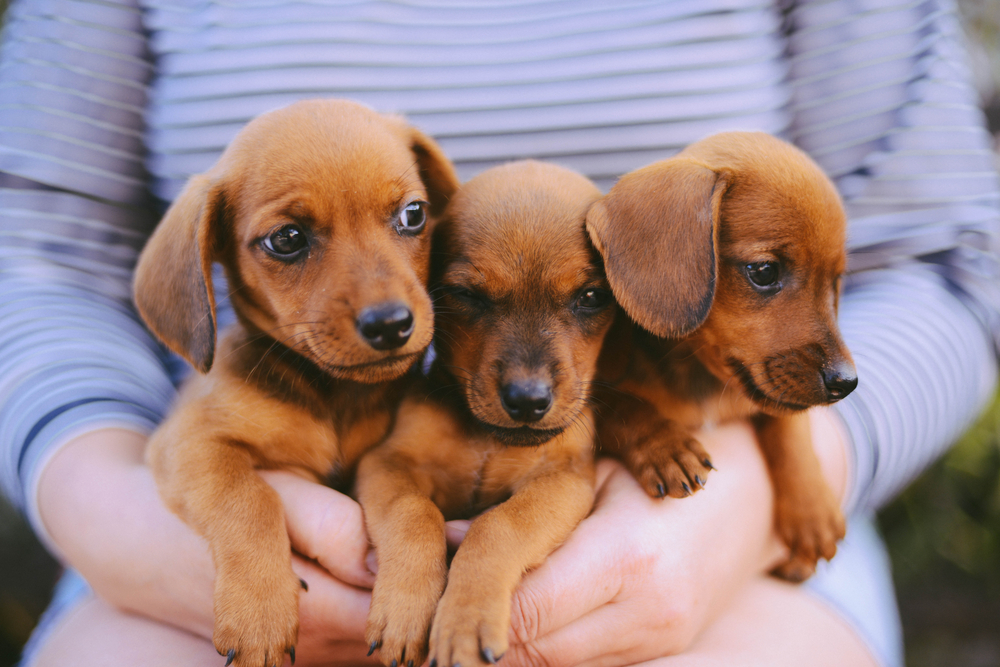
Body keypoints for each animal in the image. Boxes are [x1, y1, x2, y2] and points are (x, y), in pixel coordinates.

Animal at [133, 99, 458, 667]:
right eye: (287, 239)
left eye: (413, 214)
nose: (391, 324)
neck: (332, 397)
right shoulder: (188, 444)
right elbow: (248, 498)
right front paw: (259, 612)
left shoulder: (385, 463)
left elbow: (416, 513)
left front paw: (407, 605)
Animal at [356, 160, 612, 667]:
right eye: (466, 295)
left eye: (592, 297)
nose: (528, 400)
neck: (486, 438)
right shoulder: (386, 463)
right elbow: (413, 512)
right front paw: (404, 608)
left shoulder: (564, 480)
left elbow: (500, 524)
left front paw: (466, 619)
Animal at [584, 133, 860, 580]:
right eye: (764, 271)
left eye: (835, 282)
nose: (846, 383)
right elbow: (624, 407)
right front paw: (665, 446)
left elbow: (790, 428)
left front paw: (812, 509)